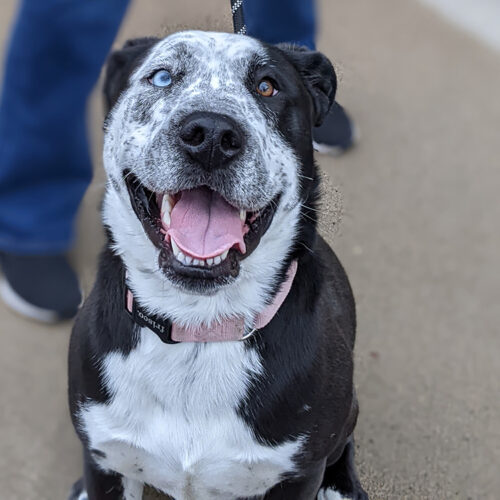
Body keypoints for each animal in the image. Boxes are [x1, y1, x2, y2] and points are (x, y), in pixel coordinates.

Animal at [67, 31, 368, 500]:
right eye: (162, 76)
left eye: (267, 86)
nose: (211, 134)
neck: (199, 328)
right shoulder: (106, 458)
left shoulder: (299, 473)